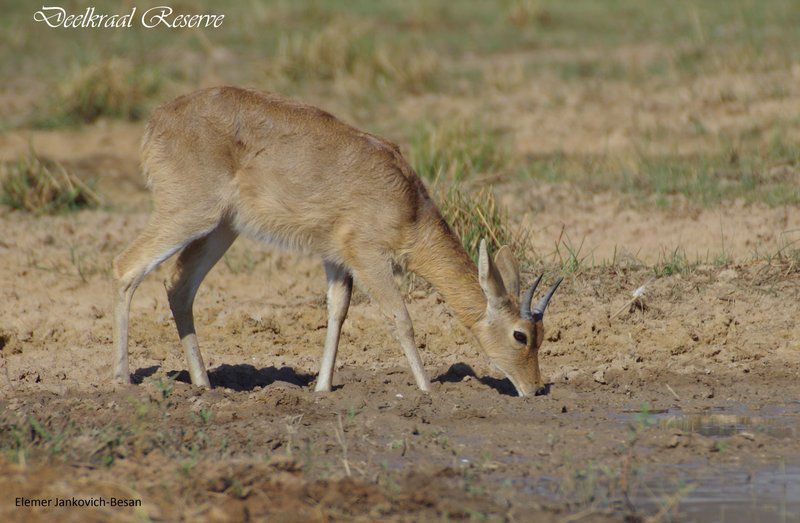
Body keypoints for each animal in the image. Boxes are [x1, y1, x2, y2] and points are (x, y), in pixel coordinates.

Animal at [111, 87, 564, 398]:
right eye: (521, 335)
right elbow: (401, 317)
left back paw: (204, 384)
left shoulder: (335, 258)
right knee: (126, 266)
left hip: (222, 228)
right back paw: (123, 379)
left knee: (179, 285)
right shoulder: (368, 257)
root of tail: (157, 120)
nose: (535, 388)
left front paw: (323, 387)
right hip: (189, 214)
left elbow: (337, 312)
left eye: (542, 335)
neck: (408, 205)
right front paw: (425, 388)